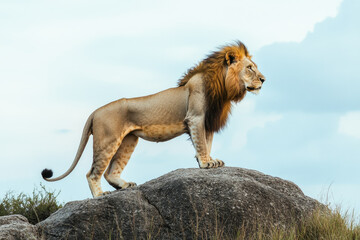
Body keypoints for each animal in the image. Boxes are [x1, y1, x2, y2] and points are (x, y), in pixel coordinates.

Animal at [42, 41, 266, 197]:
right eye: (250, 68)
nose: (264, 79)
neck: (223, 86)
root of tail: (95, 111)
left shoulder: (208, 121)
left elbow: (207, 142)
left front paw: (210, 160)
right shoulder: (196, 117)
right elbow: (201, 143)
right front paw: (205, 163)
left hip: (128, 140)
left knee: (110, 172)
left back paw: (125, 185)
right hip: (107, 140)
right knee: (93, 173)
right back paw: (100, 195)